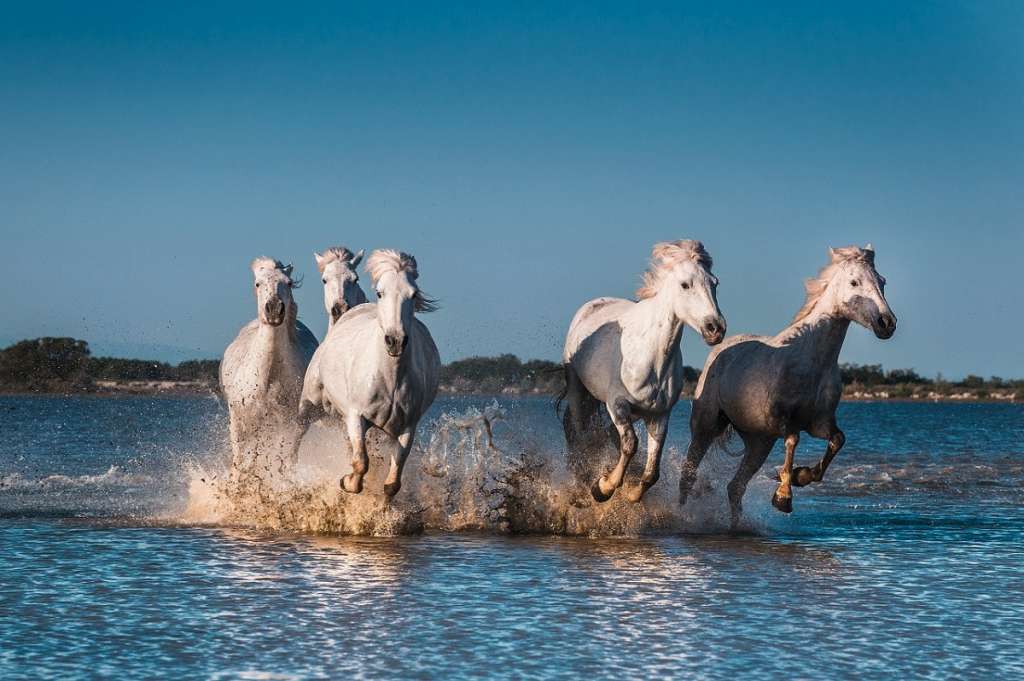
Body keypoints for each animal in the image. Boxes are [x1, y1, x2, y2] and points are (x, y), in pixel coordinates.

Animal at [221, 254, 317, 473]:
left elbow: (285, 458)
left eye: (288, 283)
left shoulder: (291, 425)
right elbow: (239, 461)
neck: (268, 377)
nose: (274, 309)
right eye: (258, 283)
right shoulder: (239, 422)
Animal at [296, 246, 440, 497]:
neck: (390, 376)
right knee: (297, 431)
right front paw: (346, 481)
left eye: (413, 294)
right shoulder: (355, 416)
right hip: (310, 403)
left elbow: (392, 482)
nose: (395, 341)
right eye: (380, 293)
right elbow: (361, 462)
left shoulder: (408, 426)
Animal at [561, 237, 729, 499]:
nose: (715, 328)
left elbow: (652, 472)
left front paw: (632, 495)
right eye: (685, 285)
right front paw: (602, 488)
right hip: (578, 389)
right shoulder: (617, 404)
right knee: (580, 434)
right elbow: (630, 444)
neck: (652, 360)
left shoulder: (659, 415)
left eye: (715, 283)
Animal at [679, 241, 897, 528]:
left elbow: (838, 440)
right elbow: (793, 440)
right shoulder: (781, 420)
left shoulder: (819, 422)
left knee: (735, 487)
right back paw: (681, 515)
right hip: (706, 426)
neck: (811, 360)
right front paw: (783, 496)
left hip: (758, 442)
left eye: (882, 281)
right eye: (854, 282)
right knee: (688, 476)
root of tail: (721, 349)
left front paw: (801, 476)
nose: (887, 323)